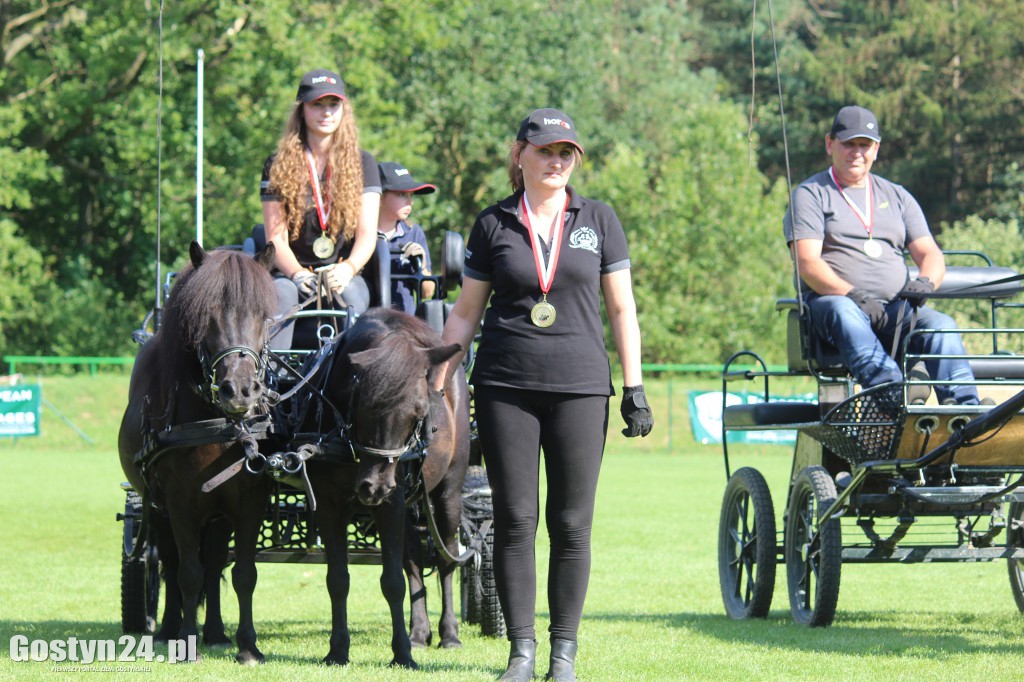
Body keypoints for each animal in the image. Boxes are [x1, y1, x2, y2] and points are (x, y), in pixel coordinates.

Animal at [118, 241, 278, 659]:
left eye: (263, 317)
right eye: (207, 317)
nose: (240, 391)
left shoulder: (250, 498)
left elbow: (243, 574)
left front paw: (247, 647)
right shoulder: (178, 499)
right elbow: (187, 572)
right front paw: (187, 640)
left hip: (217, 514)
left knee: (215, 562)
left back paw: (217, 632)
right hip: (155, 506)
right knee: (170, 562)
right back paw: (169, 628)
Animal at [305, 307, 468, 663]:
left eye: (420, 411)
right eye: (363, 403)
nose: (374, 487)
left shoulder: (390, 503)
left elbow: (393, 581)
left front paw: (402, 655)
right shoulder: (328, 504)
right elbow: (338, 579)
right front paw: (337, 650)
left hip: (448, 492)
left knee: (447, 557)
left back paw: (449, 634)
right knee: (414, 561)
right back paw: (419, 633)